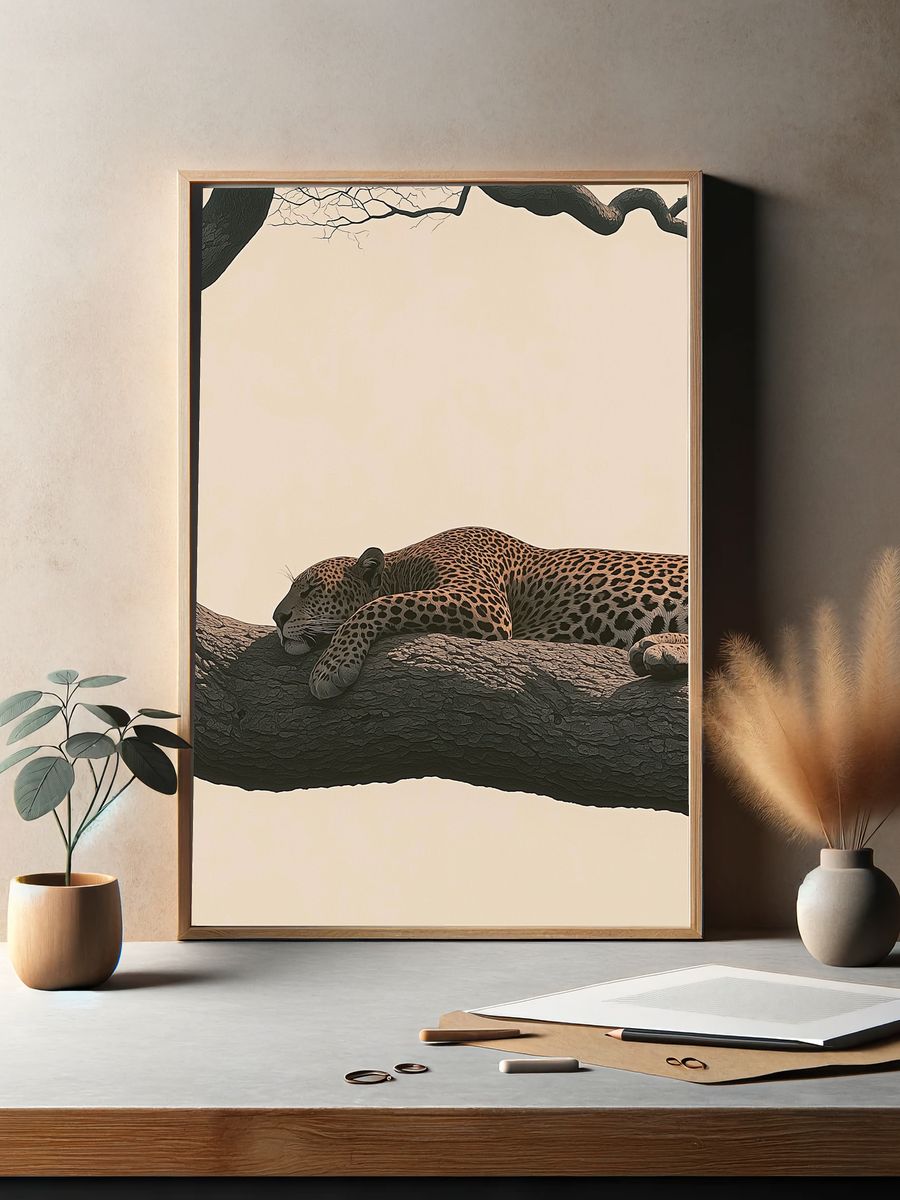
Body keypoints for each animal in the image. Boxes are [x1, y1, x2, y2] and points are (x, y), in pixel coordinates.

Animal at [272, 526, 688, 699]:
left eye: (310, 589)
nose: (277, 619)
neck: (401, 565)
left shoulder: (480, 599)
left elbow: (375, 605)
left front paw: (332, 668)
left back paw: (661, 650)